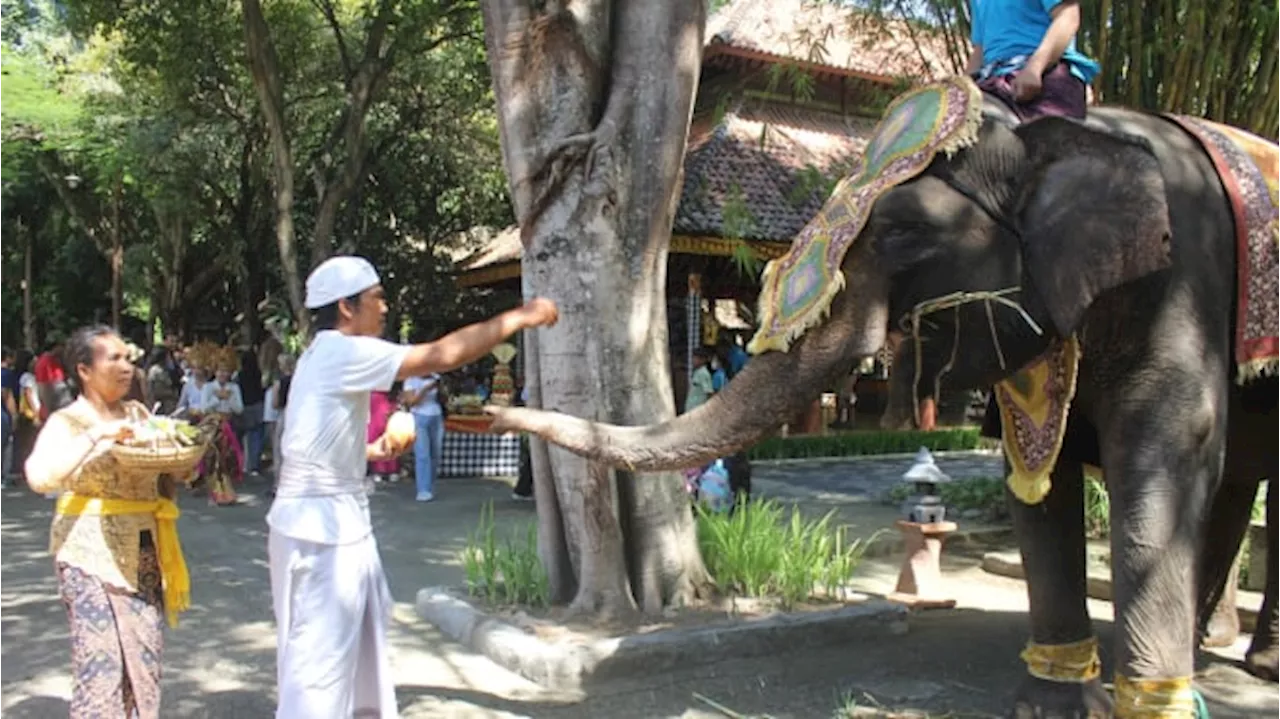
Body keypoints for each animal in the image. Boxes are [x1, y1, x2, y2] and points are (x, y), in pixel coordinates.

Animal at [488, 88, 1280, 711]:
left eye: (904, 232)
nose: (494, 406)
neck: (1059, 135)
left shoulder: (1183, 286)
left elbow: (1161, 457)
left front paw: (1145, 703)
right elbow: (1034, 478)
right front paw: (1052, 703)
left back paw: (1238, 664)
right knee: (1238, 483)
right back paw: (1208, 649)